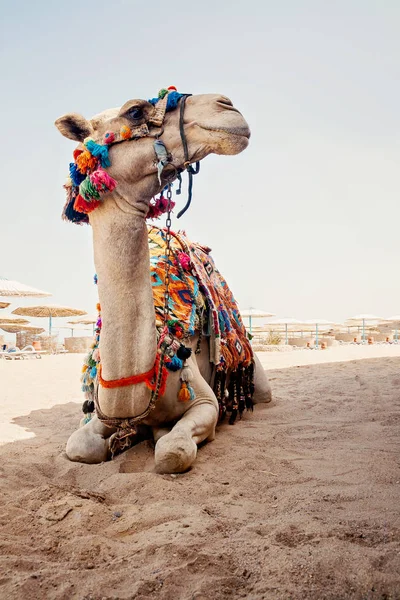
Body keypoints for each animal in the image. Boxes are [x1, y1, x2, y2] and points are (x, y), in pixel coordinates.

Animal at [54, 88, 272, 474]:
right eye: (135, 111)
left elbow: (173, 450)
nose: (227, 106)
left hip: (256, 377)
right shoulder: (99, 412)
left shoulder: (204, 401)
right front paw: (123, 440)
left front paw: (156, 436)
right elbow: (80, 447)